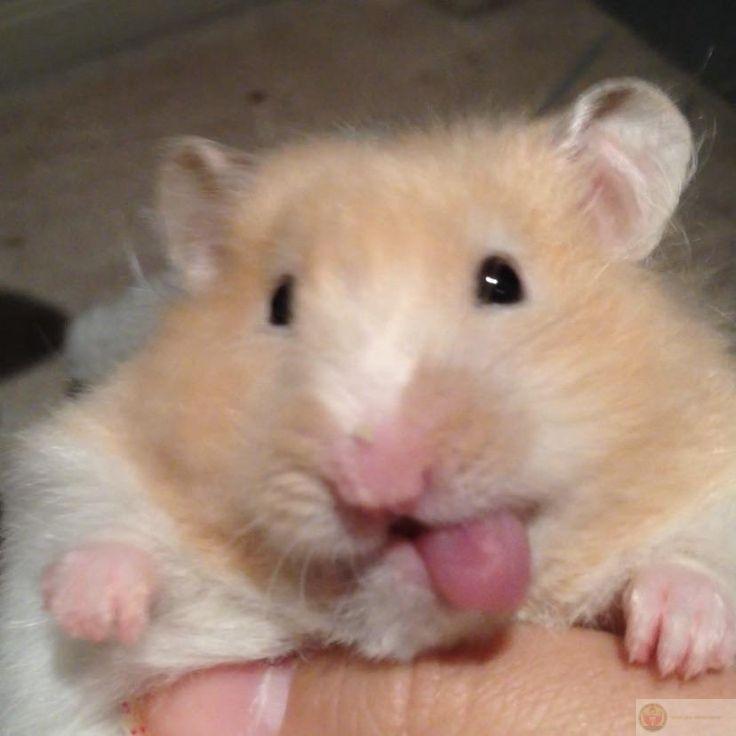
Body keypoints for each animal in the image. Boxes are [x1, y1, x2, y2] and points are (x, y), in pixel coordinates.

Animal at [2, 78, 736, 735]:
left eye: (503, 281)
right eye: (279, 304)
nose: (381, 480)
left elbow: (697, 553)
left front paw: (676, 650)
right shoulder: (78, 468)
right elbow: (93, 526)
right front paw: (95, 607)